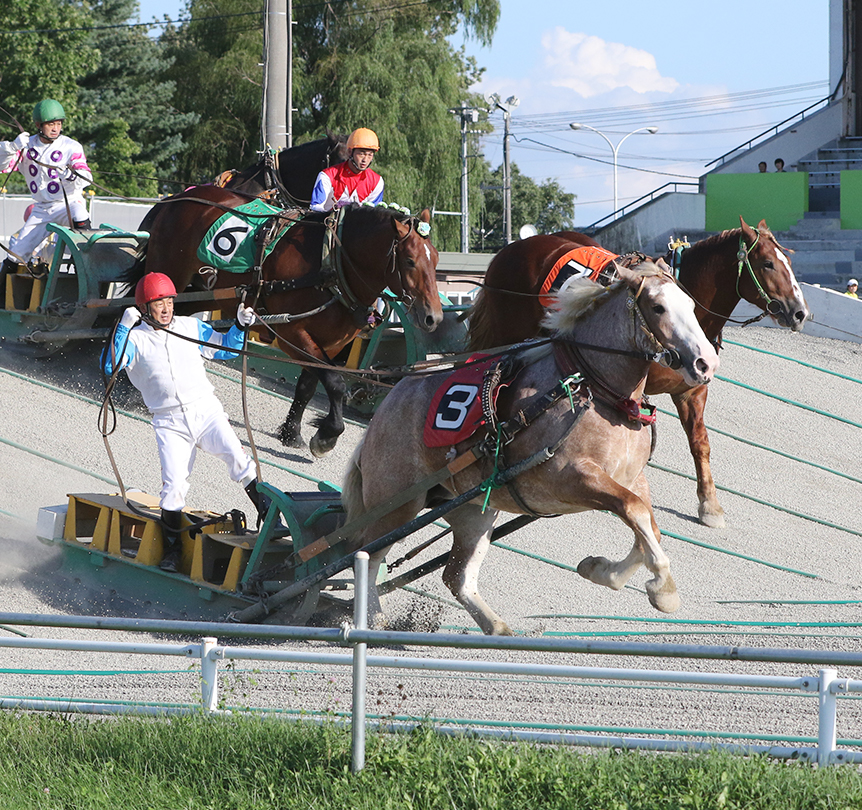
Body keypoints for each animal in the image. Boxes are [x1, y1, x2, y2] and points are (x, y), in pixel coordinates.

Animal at [128, 185, 446, 458]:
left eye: (435, 259)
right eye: (409, 261)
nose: (434, 317)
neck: (330, 262)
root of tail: (179, 197)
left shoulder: (331, 342)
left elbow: (308, 384)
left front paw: (292, 431)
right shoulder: (292, 332)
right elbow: (334, 383)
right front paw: (327, 435)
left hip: (203, 292)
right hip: (168, 276)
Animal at [340, 262, 720, 636]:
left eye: (691, 305)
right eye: (657, 307)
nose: (706, 363)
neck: (596, 390)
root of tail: (385, 407)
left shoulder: (631, 479)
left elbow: (647, 529)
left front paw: (602, 570)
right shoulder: (571, 478)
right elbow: (636, 514)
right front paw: (662, 586)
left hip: (474, 509)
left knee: (456, 576)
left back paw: (496, 628)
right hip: (396, 506)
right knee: (366, 556)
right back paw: (372, 618)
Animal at [466, 218, 808, 528]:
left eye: (789, 262)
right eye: (767, 264)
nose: (799, 312)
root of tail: (510, 250)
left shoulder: (691, 389)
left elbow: (700, 442)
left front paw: (709, 503)